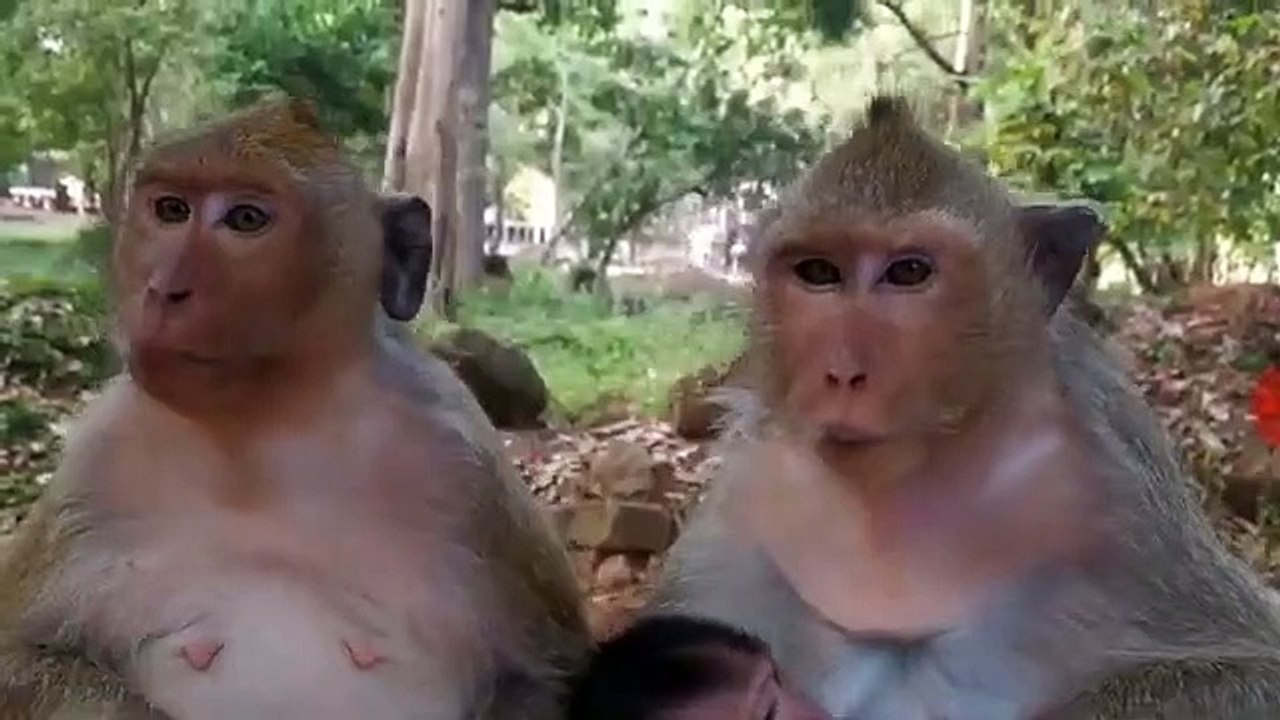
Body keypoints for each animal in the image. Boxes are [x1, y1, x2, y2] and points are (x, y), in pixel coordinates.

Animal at [0, 97, 590, 719]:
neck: (264, 427)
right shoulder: (98, 455)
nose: (163, 290)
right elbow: (19, 654)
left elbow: (543, 676)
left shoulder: (469, 467)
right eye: (171, 210)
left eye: (245, 220)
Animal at [647, 94, 1280, 720]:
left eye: (908, 272)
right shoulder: (753, 491)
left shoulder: (1120, 489)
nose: (842, 372)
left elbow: (1252, 667)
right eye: (818, 272)